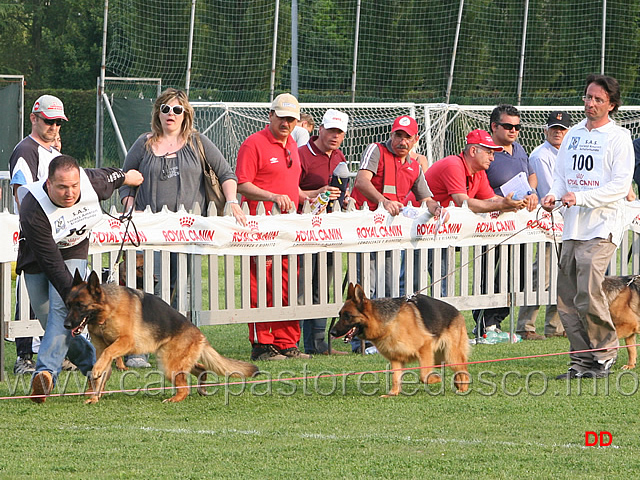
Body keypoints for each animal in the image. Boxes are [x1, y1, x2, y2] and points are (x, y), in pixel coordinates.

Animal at [63, 272, 258, 404]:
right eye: (68, 304)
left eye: (81, 305)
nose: (66, 325)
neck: (108, 309)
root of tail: (200, 334)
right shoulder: (101, 349)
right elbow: (103, 371)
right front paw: (95, 396)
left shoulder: (125, 342)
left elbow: (107, 355)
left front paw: (96, 371)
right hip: (171, 359)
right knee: (200, 369)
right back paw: (201, 387)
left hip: (168, 363)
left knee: (185, 387)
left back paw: (175, 399)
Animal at [330, 284, 470, 396]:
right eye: (339, 315)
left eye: (348, 316)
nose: (332, 332)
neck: (389, 323)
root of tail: (458, 312)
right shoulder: (396, 358)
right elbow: (396, 378)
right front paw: (393, 393)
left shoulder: (424, 348)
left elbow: (424, 375)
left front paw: (436, 379)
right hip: (440, 357)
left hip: (450, 355)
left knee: (463, 369)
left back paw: (463, 388)